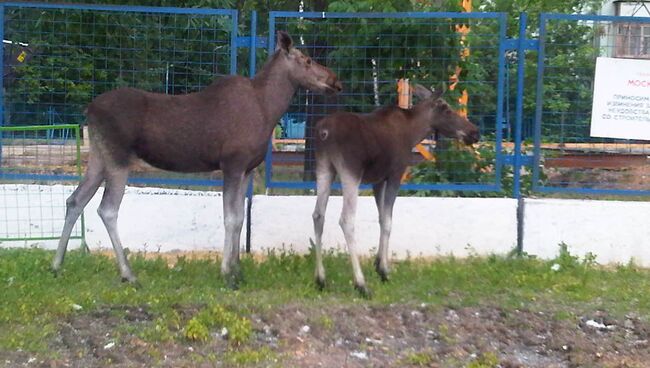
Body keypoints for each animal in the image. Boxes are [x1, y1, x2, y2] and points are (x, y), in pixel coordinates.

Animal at [53, 31, 342, 288]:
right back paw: (128, 274)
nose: (335, 80)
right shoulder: (232, 164)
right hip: (118, 158)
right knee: (107, 209)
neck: (268, 109)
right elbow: (231, 219)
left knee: (75, 200)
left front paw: (238, 270)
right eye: (307, 60)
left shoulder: (247, 169)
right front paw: (227, 273)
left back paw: (57, 264)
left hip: (99, 157)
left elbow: (240, 219)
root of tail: (89, 109)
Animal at [312, 85, 478, 298]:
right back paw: (361, 284)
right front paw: (384, 271)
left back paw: (320, 280)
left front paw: (378, 264)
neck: (414, 131)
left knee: (318, 215)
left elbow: (382, 218)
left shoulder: (377, 181)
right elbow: (389, 221)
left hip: (324, 168)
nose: (474, 132)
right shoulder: (395, 174)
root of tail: (323, 132)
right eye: (446, 109)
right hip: (350, 172)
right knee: (346, 219)